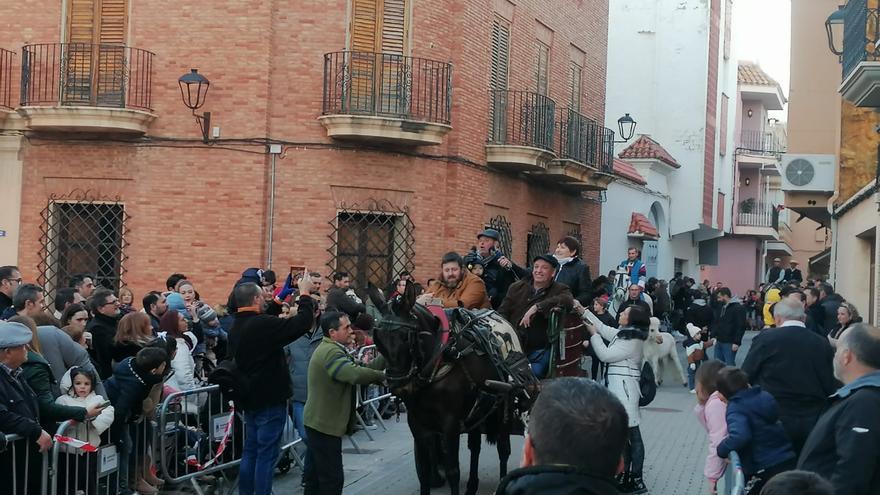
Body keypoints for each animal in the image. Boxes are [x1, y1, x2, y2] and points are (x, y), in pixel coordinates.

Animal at [370, 284, 532, 495]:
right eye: (378, 338)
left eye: (406, 337)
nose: (399, 385)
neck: (438, 359)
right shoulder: (417, 424)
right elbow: (423, 471)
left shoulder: (450, 424)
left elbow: (453, 470)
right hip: (477, 411)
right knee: (475, 447)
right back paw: (472, 485)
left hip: (503, 407)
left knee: (503, 449)